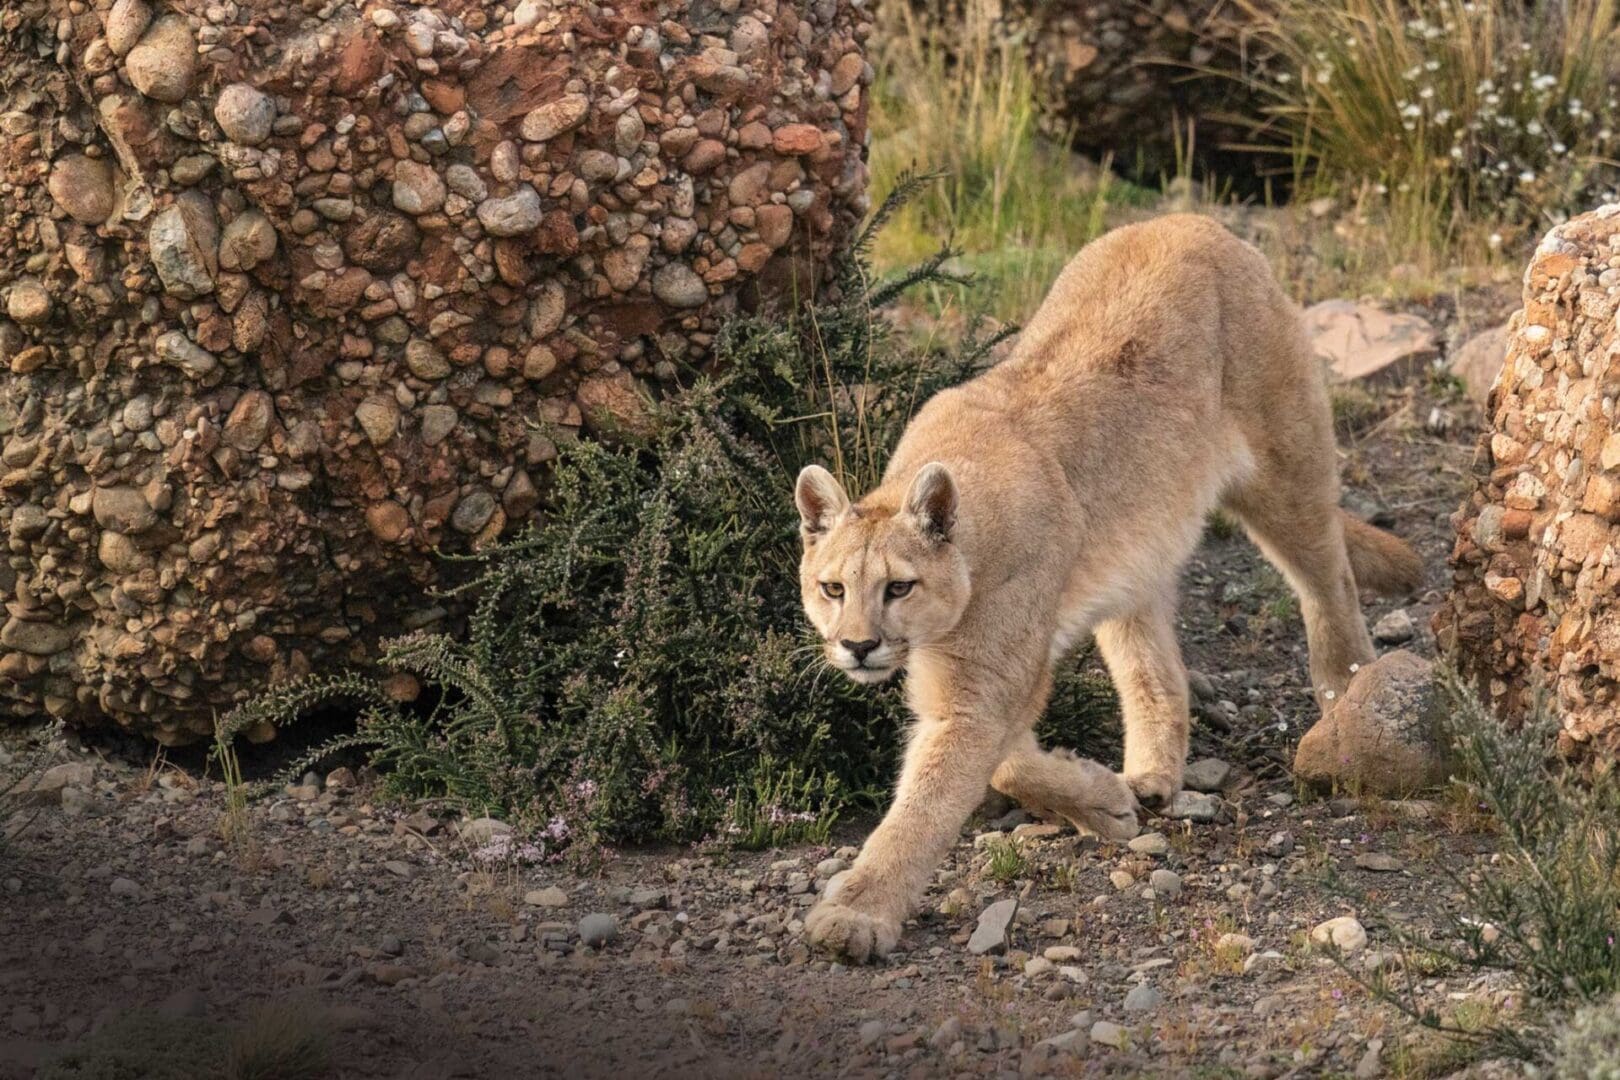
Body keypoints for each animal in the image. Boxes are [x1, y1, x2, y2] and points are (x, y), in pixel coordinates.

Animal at [793, 213, 1419, 965]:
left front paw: (857, 912)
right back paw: (1150, 775)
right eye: (832, 588)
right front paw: (1102, 798)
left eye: (898, 588)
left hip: (1285, 470)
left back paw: (1346, 693)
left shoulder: (979, 689)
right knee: (1153, 664)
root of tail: (1193, 219)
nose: (857, 647)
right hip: (1136, 551)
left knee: (1330, 578)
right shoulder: (977, 681)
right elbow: (1003, 764)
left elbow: (933, 799)